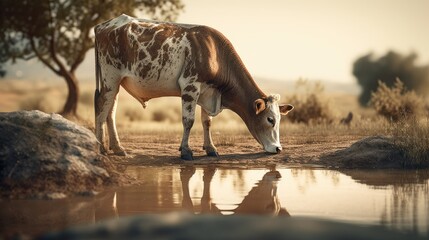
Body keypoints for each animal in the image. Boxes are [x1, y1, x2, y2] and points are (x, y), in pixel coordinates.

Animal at [93, 14, 294, 159]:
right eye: (270, 119)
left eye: (279, 118)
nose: (278, 148)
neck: (215, 52)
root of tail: (105, 25)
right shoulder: (190, 86)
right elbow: (188, 121)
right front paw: (186, 151)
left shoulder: (208, 91)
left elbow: (207, 122)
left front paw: (210, 148)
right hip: (110, 78)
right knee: (102, 106)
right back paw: (101, 147)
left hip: (116, 83)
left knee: (110, 111)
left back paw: (117, 148)